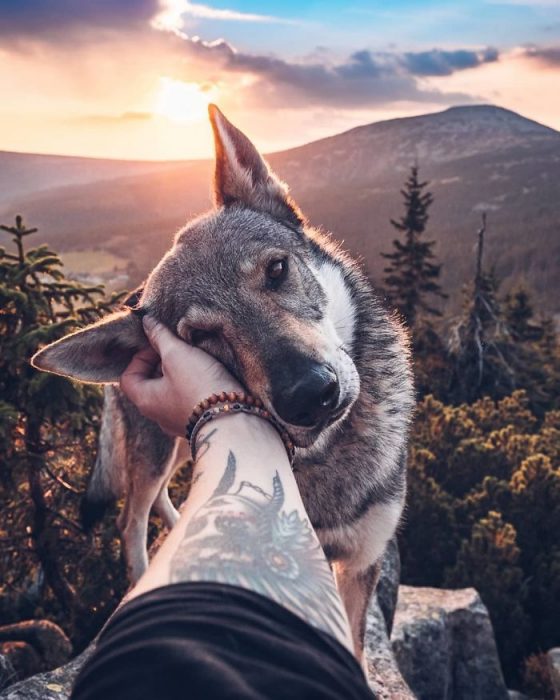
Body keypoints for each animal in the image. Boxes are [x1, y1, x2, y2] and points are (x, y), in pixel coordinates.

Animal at [31, 104, 416, 656]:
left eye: (276, 269)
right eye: (201, 335)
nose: (310, 395)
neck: (324, 460)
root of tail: (127, 299)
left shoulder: (361, 562)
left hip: (180, 445)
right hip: (156, 451)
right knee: (130, 520)